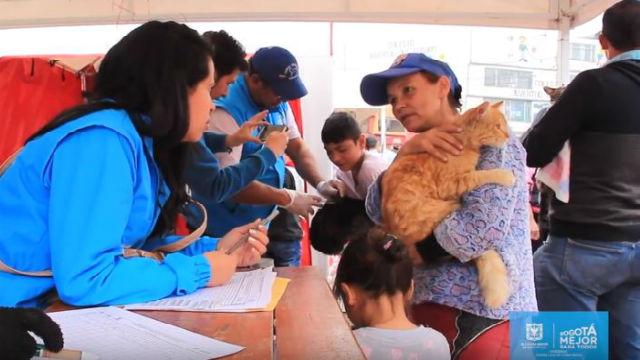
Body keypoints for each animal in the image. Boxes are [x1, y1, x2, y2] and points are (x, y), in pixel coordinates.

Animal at [382, 101, 512, 310]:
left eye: (505, 126)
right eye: (498, 127)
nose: (508, 136)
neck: (462, 140)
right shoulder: (451, 184)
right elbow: (481, 175)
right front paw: (505, 175)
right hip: (445, 209)